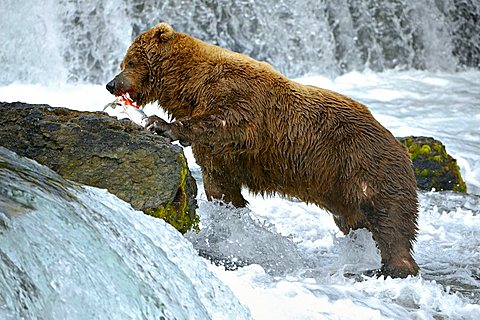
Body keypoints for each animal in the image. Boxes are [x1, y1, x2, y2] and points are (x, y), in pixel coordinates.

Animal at [107, 21, 418, 278]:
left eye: (130, 61)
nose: (111, 83)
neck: (190, 86)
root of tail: (400, 146)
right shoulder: (219, 155)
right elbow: (220, 184)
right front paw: (230, 221)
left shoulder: (240, 101)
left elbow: (225, 123)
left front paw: (160, 124)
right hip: (342, 188)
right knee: (356, 222)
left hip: (365, 166)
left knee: (390, 221)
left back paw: (391, 268)